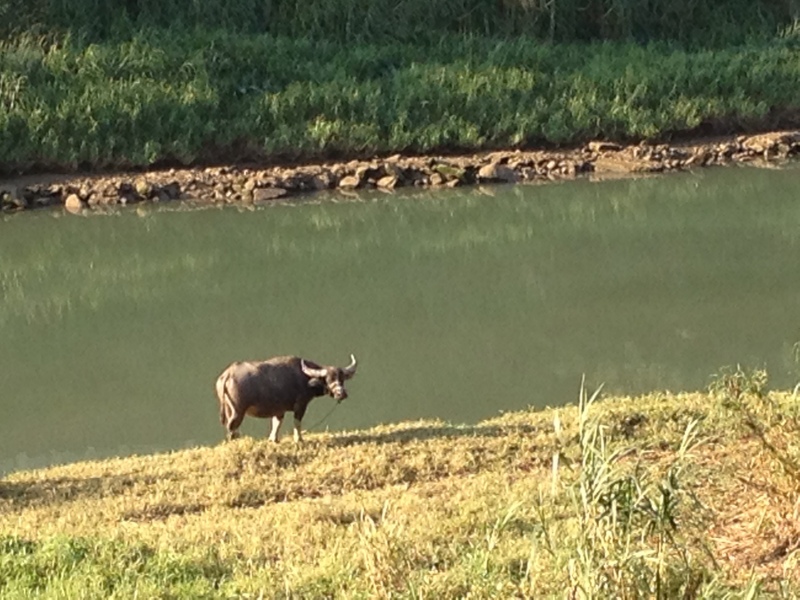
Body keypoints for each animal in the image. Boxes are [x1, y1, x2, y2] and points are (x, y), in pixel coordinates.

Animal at [217, 354, 358, 442]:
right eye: (328, 379)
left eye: (342, 378)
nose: (341, 393)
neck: (305, 378)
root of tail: (228, 374)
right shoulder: (301, 405)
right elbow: (297, 422)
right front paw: (299, 439)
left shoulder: (279, 410)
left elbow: (276, 423)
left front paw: (273, 440)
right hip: (238, 411)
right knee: (232, 426)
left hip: (229, 409)